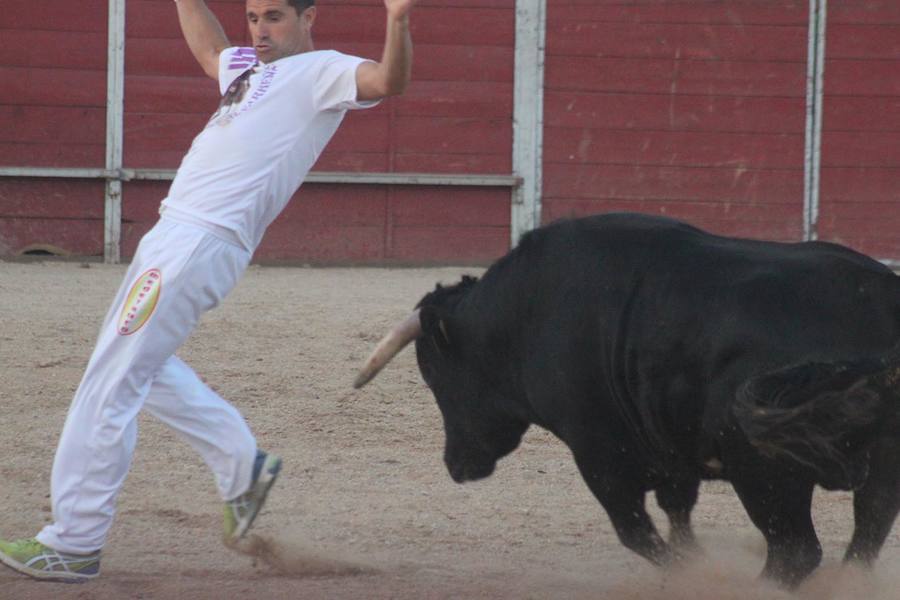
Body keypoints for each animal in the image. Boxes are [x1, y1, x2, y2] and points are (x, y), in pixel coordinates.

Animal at [354, 212, 900, 584]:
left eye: (434, 375)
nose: (456, 465)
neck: (523, 314)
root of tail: (878, 305)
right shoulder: (671, 448)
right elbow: (677, 514)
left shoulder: (600, 453)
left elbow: (636, 531)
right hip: (877, 466)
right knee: (866, 536)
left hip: (766, 474)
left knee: (795, 552)